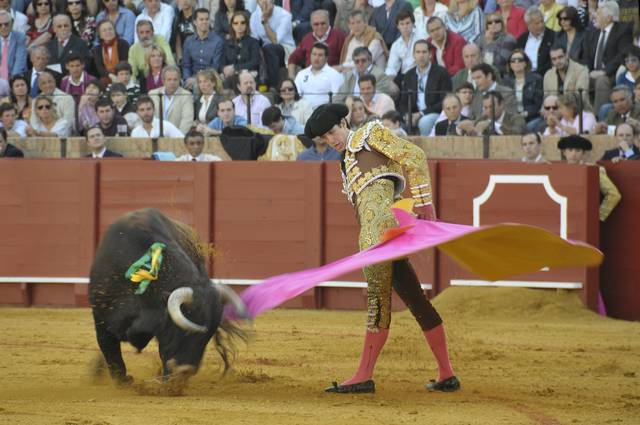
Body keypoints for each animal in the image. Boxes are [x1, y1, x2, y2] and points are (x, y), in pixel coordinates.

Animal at [90, 207, 248, 382]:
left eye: (209, 336)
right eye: (185, 331)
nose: (186, 371)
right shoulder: (102, 322)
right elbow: (113, 358)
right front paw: (122, 380)